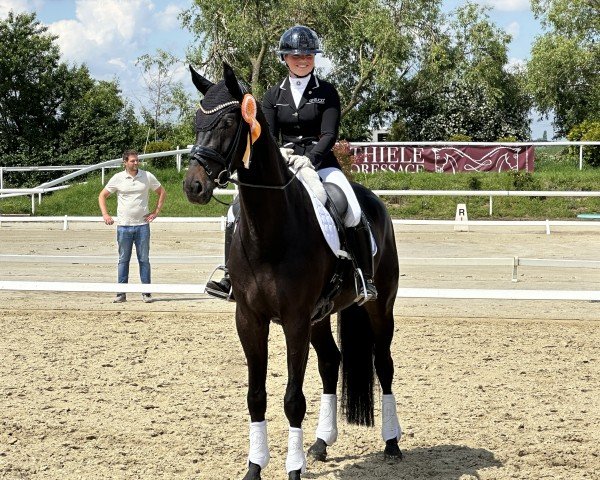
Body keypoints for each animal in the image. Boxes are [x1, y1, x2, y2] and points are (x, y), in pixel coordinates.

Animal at [180, 63, 400, 480]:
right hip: (320, 316)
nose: (193, 186)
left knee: (383, 365)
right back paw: (321, 443)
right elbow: (256, 396)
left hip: (378, 307)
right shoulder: (250, 318)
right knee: (331, 362)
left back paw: (392, 443)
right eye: (197, 121)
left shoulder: (295, 320)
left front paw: (293, 469)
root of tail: (374, 200)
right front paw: (254, 467)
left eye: (229, 121)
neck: (271, 230)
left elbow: (293, 399)